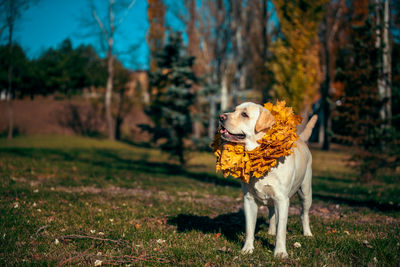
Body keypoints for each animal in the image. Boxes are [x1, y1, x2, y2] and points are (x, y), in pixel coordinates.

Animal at [219, 101, 316, 258]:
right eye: (234, 110)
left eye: (244, 114)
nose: (221, 117)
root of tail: (300, 138)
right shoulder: (249, 200)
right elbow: (249, 228)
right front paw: (247, 249)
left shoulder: (282, 200)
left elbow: (281, 230)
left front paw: (280, 252)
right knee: (271, 213)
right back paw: (270, 231)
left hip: (306, 192)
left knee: (304, 214)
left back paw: (307, 233)